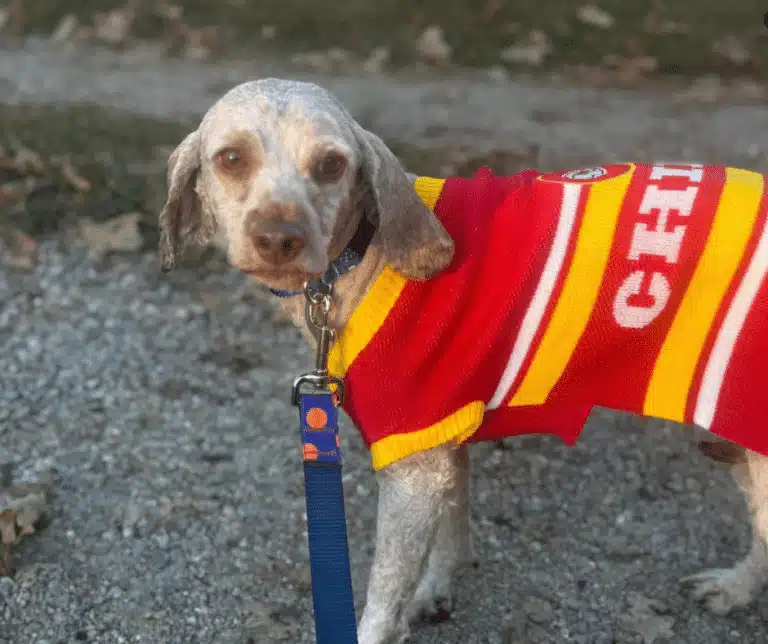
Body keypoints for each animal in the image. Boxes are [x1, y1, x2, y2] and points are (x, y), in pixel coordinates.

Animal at [158, 78, 768, 644]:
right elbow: (451, 535)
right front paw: (435, 593)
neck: (364, 250)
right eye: (231, 158)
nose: (279, 238)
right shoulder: (440, 441)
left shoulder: (412, 468)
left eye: (331, 164)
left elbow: (382, 598)